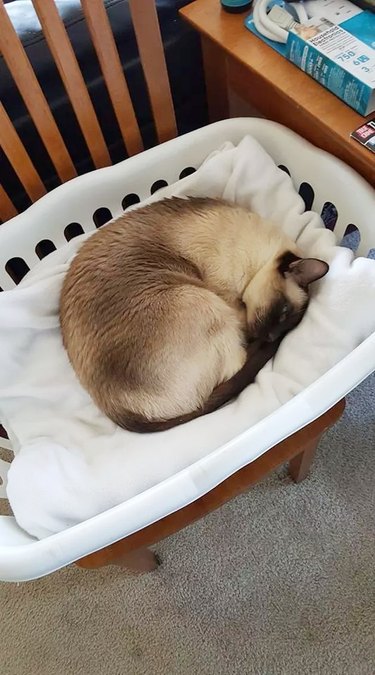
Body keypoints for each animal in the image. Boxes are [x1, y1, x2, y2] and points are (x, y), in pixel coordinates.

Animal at [59, 198, 328, 436]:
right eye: (283, 312)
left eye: (287, 323)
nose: (272, 337)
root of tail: (116, 410)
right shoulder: (230, 302)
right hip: (204, 300)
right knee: (238, 364)